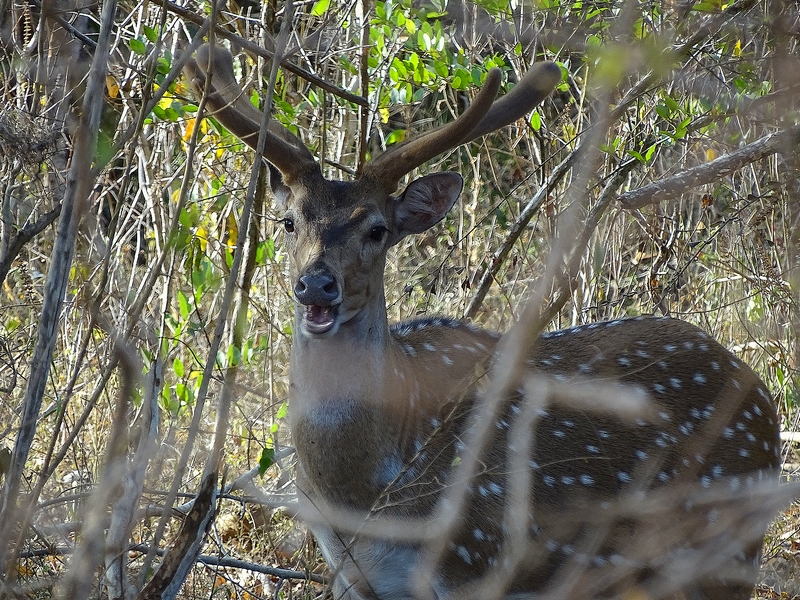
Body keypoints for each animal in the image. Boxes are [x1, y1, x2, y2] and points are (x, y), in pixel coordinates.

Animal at [184, 43, 782, 600]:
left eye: (378, 229)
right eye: (288, 221)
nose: (316, 284)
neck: (366, 498)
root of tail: (761, 393)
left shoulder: (479, 558)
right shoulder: (353, 576)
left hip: (726, 548)